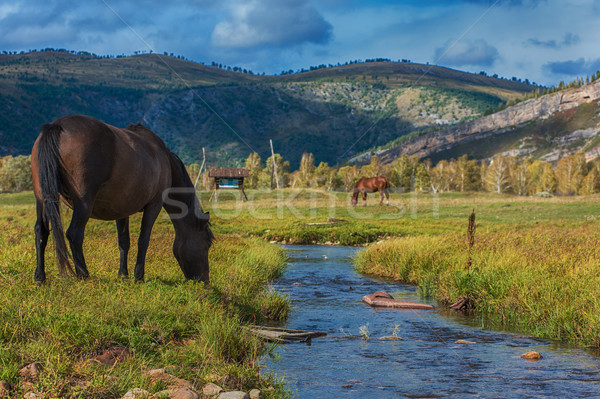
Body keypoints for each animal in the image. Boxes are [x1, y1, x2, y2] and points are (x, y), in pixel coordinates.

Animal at [31, 115, 213, 284]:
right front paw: (138, 276)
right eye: (207, 244)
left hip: (42, 199)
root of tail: (58, 125)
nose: (204, 280)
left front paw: (123, 275)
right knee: (74, 234)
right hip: (83, 204)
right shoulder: (154, 206)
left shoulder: (121, 210)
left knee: (41, 231)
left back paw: (40, 277)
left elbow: (124, 242)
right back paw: (84, 275)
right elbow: (143, 240)